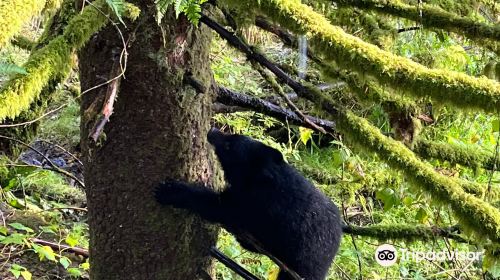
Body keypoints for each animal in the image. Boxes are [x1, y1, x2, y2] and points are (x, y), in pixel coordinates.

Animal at [156, 128, 344, 278]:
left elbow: (217, 206)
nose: (212, 130)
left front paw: (170, 191)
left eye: (229, 146)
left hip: (304, 262)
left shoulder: (253, 204)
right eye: (234, 136)